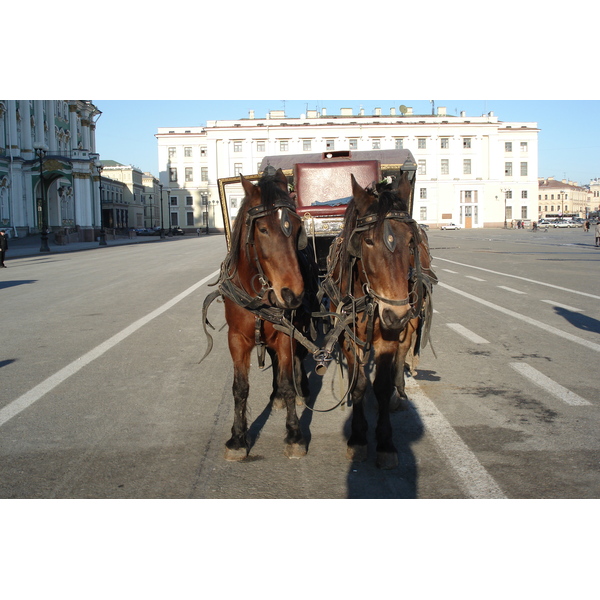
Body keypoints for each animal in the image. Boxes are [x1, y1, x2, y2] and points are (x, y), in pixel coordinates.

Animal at [216, 168, 310, 460]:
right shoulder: (236, 339)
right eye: (263, 229)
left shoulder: (286, 334)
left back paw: (301, 391)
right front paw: (238, 438)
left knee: (296, 361)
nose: (293, 294)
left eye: (298, 226)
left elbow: (288, 380)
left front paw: (294, 434)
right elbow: (240, 388)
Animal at [324, 172, 436, 468]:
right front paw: (358, 438)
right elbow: (359, 384)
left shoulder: (390, 337)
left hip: (412, 320)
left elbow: (382, 386)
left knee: (403, 355)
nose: (395, 314)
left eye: (410, 241)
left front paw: (385, 442)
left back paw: (400, 393)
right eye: (368, 241)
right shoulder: (348, 336)